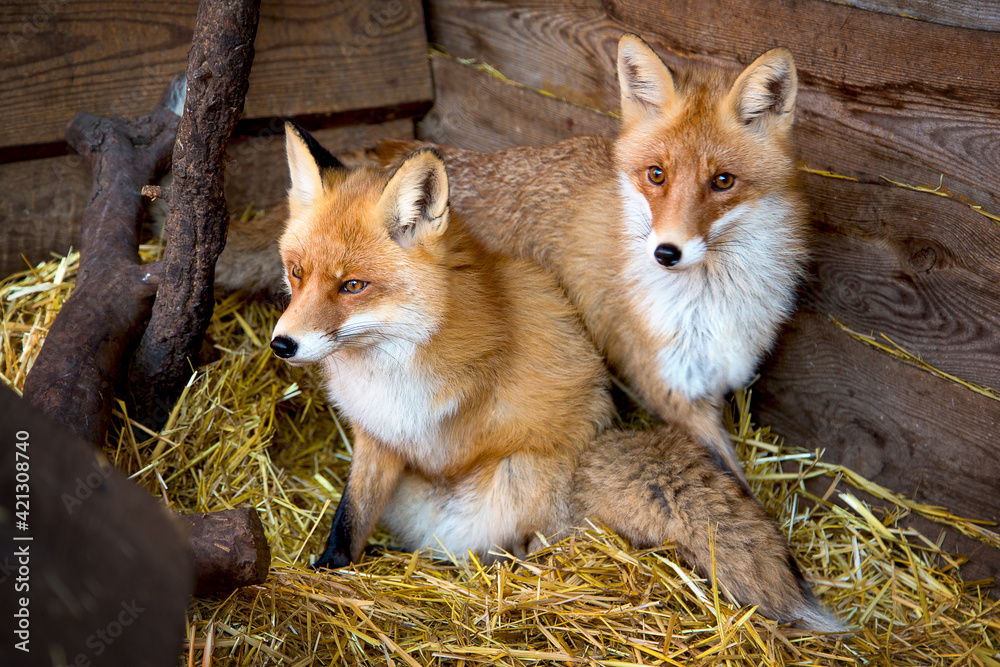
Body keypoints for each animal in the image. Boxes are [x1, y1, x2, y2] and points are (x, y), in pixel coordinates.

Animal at [268, 123, 841, 632]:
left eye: (353, 286)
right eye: (297, 272)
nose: (282, 344)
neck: (388, 363)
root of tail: (595, 452)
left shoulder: (444, 428)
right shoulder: (376, 436)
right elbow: (350, 517)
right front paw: (330, 568)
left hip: (517, 479)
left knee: (522, 542)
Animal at [350, 35, 810, 491]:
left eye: (722, 181)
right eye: (656, 175)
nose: (666, 253)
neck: (709, 305)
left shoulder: (712, 381)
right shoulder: (673, 393)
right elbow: (740, 488)